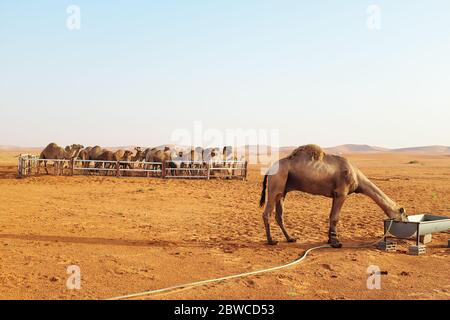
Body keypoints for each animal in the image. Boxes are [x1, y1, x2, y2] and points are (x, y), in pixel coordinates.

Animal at [258, 144, 410, 248]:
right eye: (405, 215)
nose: (406, 235)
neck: (357, 177)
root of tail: (270, 168)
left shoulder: (335, 195)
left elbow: (331, 216)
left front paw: (330, 240)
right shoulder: (342, 193)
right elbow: (336, 217)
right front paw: (336, 242)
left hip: (283, 191)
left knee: (279, 215)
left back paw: (291, 238)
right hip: (276, 184)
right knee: (267, 213)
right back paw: (271, 241)